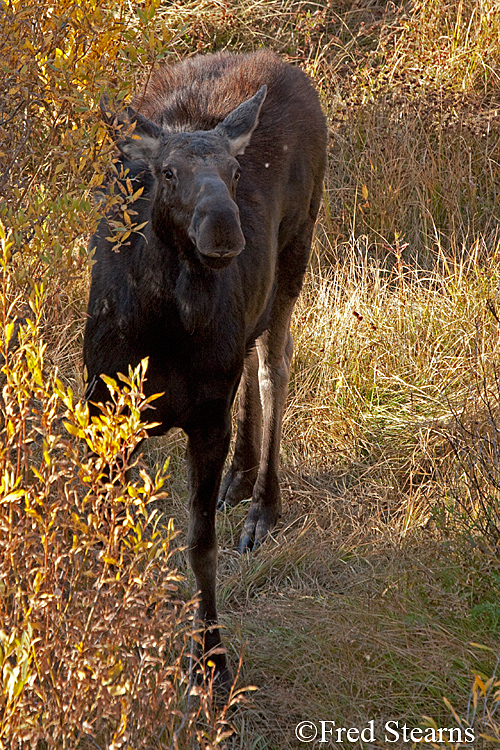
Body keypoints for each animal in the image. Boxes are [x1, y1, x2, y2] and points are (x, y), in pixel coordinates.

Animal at [85, 51, 328, 688]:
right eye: (168, 173)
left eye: (236, 171)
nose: (224, 227)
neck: (166, 327)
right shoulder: (105, 408)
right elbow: (110, 526)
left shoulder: (206, 418)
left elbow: (199, 546)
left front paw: (211, 659)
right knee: (253, 353)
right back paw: (238, 480)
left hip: (295, 254)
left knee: (273, 364)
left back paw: (263, 503)